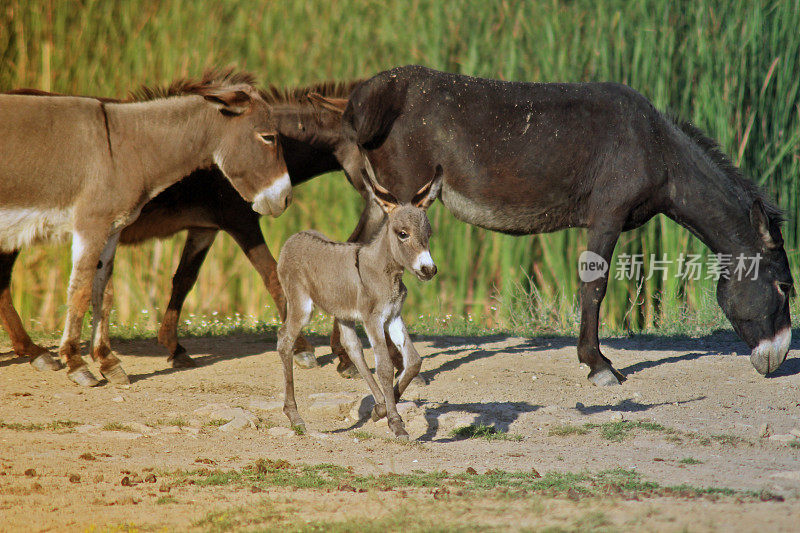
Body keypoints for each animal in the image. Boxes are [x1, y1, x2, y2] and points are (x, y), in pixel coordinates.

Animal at [278, 164, 444, 438]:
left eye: (429, 234)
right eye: (403, 234)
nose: (428, 270)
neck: (386, 273)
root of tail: (295, 237)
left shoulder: (393, 315)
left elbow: (414, 361)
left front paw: (388, 404)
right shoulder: (373, 319)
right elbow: (385, 367)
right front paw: (396, 423)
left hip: (343, 313)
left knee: (352, 348)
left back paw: (378, 405)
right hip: (301, 305)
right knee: (285, 341)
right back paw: (295, 417)